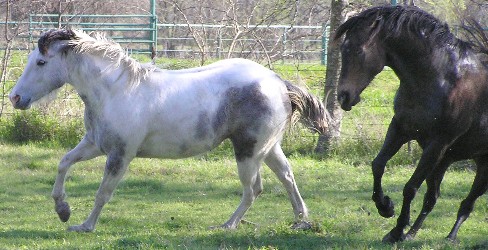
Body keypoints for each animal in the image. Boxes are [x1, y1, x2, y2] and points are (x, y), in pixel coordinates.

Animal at [8, 29, 328, 232]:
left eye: (41, 62)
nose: (15, 98)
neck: (116, 91)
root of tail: (278, 82)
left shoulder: (120, 155)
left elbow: (103, 193)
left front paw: (84, 226)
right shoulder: (94, 145)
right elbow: (63, 163)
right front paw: (63, 210)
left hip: (249, 151)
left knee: (253, 189)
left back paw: (226, 226)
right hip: (268, 148)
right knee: (286, 177)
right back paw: (301, 220)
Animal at [336, 5, 488, 243]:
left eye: (359, 51)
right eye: (343, 49)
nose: (343, 97)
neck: (439, 79)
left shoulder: (437, 144)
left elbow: (410, 187)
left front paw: (397, 229)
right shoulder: (400, 129)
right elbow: (377, 165)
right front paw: (386, 208)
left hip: (478, 166)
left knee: (467, 204)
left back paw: (449, 237)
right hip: (445, 162)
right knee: (432, 198)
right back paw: (412, 233)